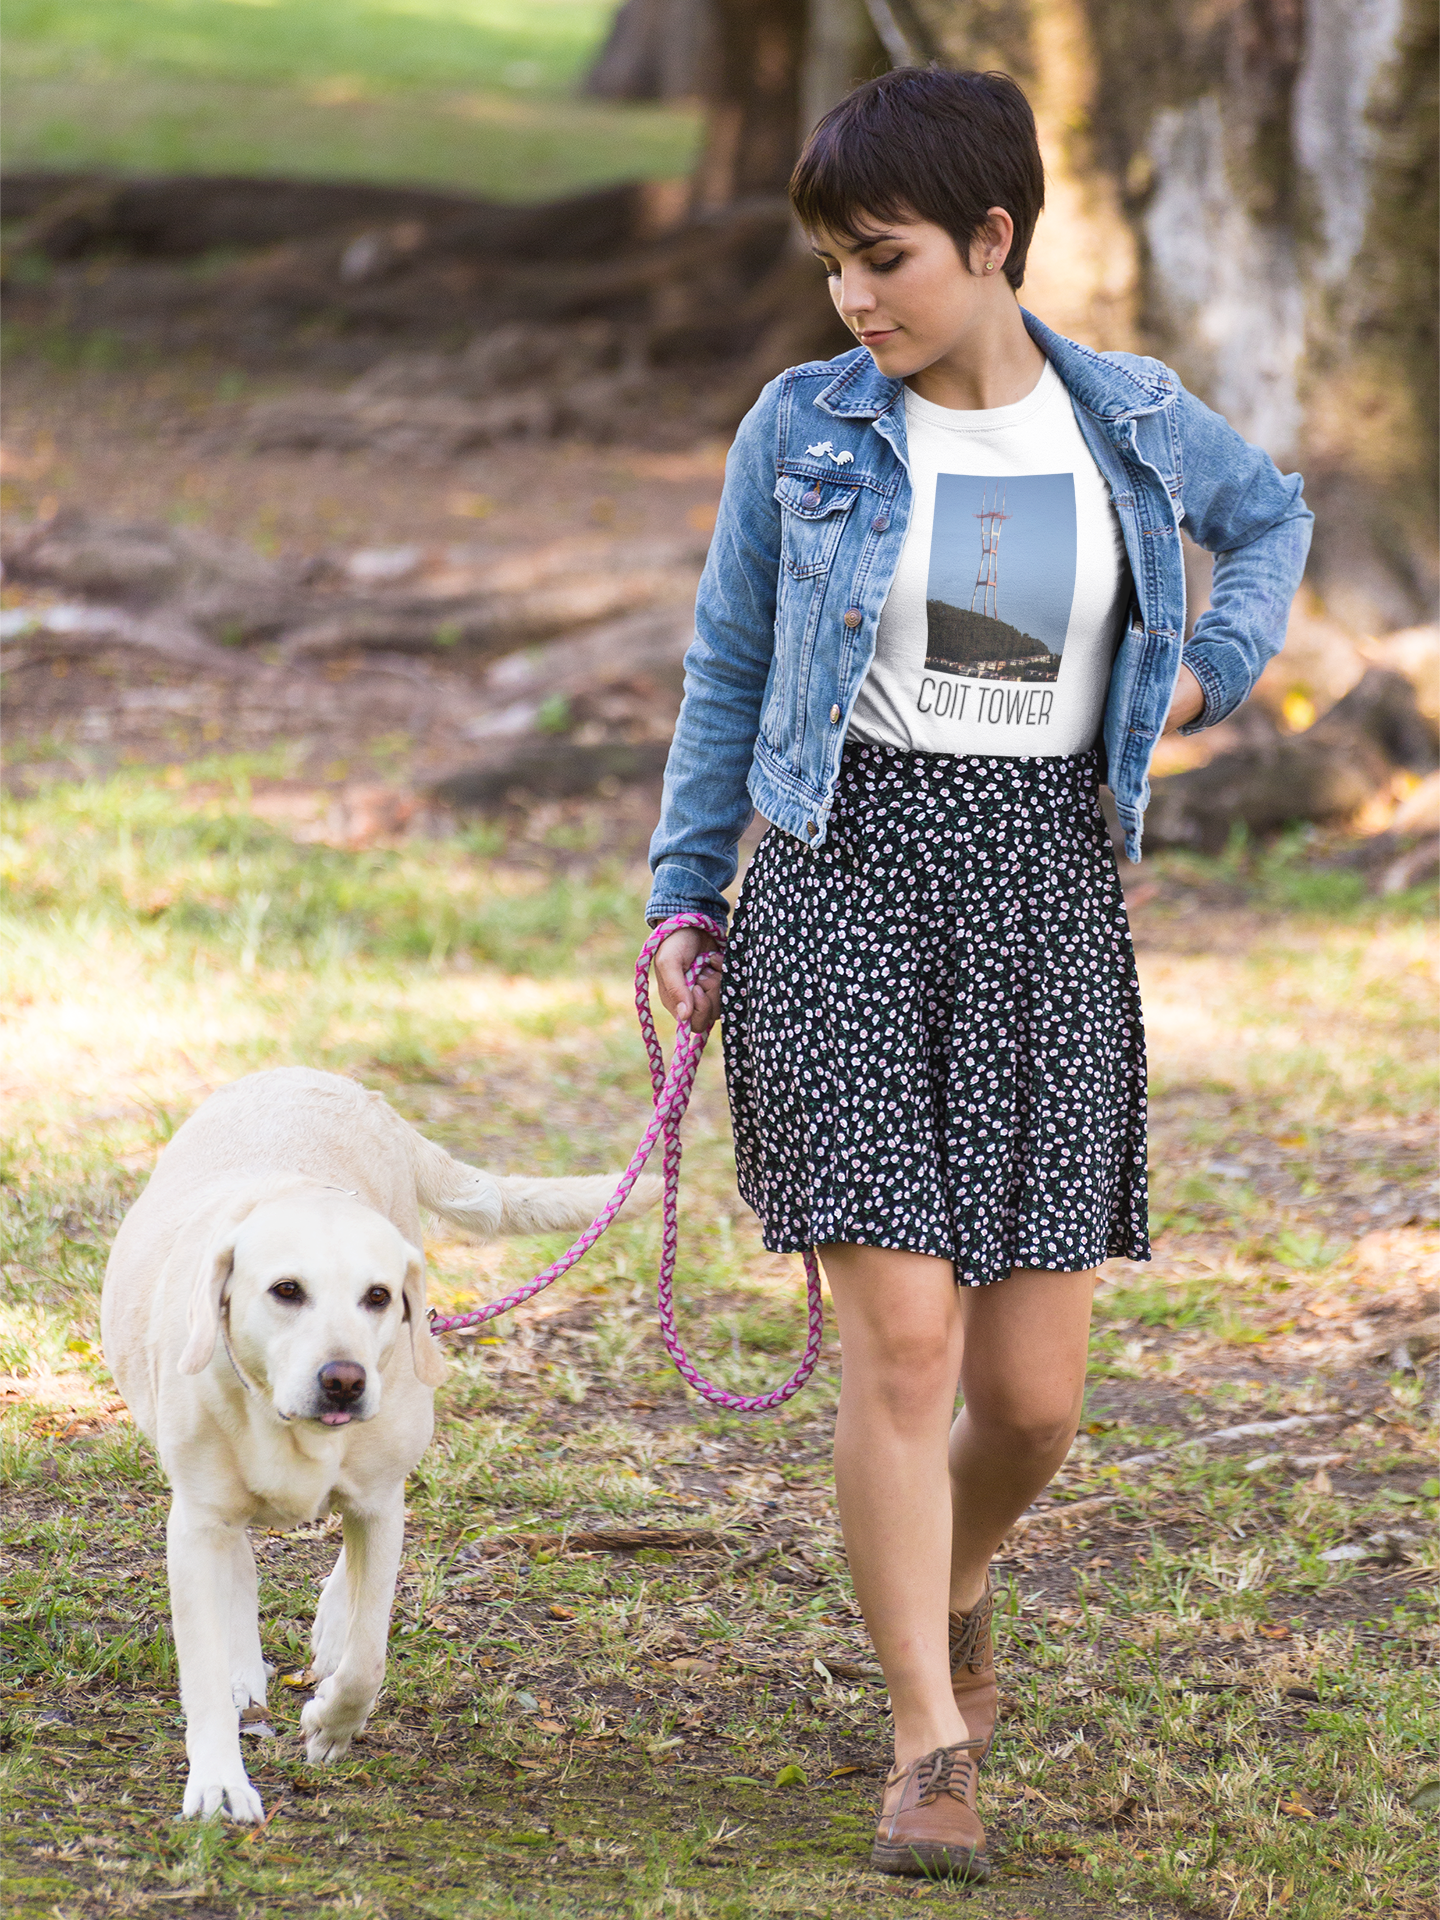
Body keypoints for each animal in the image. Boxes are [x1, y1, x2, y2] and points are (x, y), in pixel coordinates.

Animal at [96, 1075, 648, 1820]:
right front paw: (218, 1781)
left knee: (351, 1586)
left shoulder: (381, 1505)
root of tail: (328, 1080)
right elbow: (205, 1664)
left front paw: (332, 1723)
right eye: (286, 1291)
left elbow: (369, 1653)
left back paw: (331, 1629)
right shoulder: (196, 1521)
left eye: (378, 1297)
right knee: (239, 1566)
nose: (345, 1381)